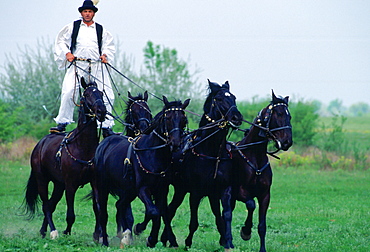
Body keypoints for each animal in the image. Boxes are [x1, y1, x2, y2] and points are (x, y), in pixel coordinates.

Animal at [23, 78, 106, 239]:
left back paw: (43, 230)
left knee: (51, 204)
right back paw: (53, 231)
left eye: (101, 93)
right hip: (42, 179)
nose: (102, 111)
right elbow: (70, 214)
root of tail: (40, 144)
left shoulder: (94, 182)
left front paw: (97, 234)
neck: (82, 146)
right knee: (46, 205)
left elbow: (97, 208)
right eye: (86, 94)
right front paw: (67, 231)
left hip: (58, 184)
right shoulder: (70, 184)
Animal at [92, 95, 191, 247]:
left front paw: (163, 240)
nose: (176, 143)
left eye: (183, 119)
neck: (152, 153)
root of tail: (104, 143)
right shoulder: (143, 189)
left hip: (129, 190)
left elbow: (163, 213)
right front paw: (147, 235)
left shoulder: (162, 189)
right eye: (167, 118)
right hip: (103, 186)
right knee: (103, 212)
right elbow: (154, 212)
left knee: (120, 205)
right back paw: (105, 241)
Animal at [153, 80, 243, 250]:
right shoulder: (196, 192)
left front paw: (228, 241)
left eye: (234, 97)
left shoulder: (222, 190)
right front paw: (188, 243)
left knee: (171, 209)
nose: (237, 117)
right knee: (167, 210)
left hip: (181, 189)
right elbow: (194, 221)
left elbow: (225, 216)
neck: (212, 153)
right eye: (219, 99)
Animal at [233, 91, 294, 252]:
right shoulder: (239, 192)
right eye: (279, 114)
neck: (255, 156)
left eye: (289, 116)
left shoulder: (265, 195)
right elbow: (251, 205)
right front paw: (246, 231)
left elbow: (262, 226)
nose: (287, 142)